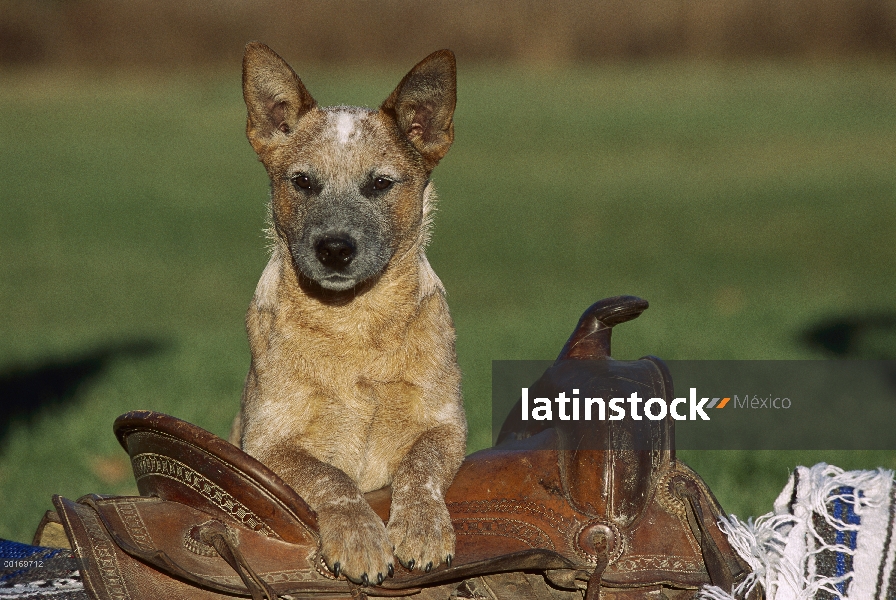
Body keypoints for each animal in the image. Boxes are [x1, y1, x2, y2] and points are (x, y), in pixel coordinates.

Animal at [231, 44, 468, 588]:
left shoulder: (446, 424)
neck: (355, 328)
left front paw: (423, 529)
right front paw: (360, 536)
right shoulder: (266, 443)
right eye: (302, 181)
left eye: (380, 183)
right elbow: (331, 476)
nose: (334, 248)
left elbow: (419, 468)